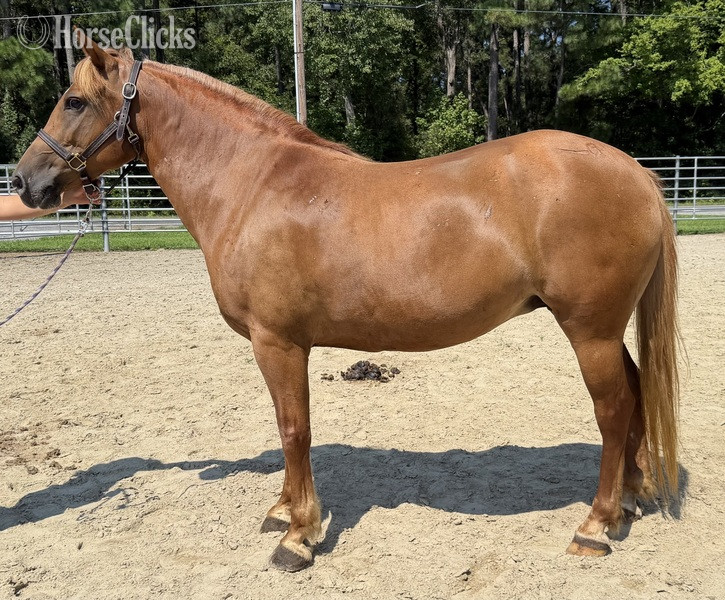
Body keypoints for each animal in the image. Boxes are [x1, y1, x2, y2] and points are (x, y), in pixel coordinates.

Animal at [12, 33, 680, 572]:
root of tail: (638, 173)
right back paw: (625, 506)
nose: (25, 182)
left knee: (613, 410)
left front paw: (299, 536)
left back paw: (594, 527)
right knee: (635, 394)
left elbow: (294, 428)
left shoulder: (278, 341)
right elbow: (288, 429)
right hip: (603, 330)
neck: (253, 184)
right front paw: (283, 511)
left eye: (74, 101)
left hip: (589, 330)